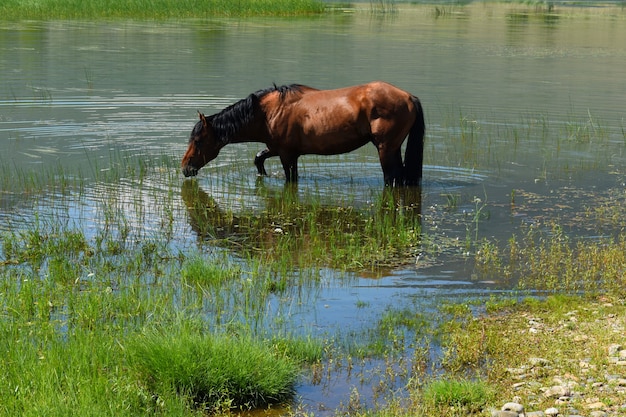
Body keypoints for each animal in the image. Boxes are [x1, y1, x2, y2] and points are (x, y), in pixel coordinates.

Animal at [180, 81, 424, 185]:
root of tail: (408, 96)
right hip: (394, 148)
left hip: (385, 148)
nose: (185, 168)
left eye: (198, 141)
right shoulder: (278, 149)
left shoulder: (286, 154)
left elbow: (291, 179)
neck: (268, 112)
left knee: (392, 177)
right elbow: (259, 158)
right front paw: (263, 176)